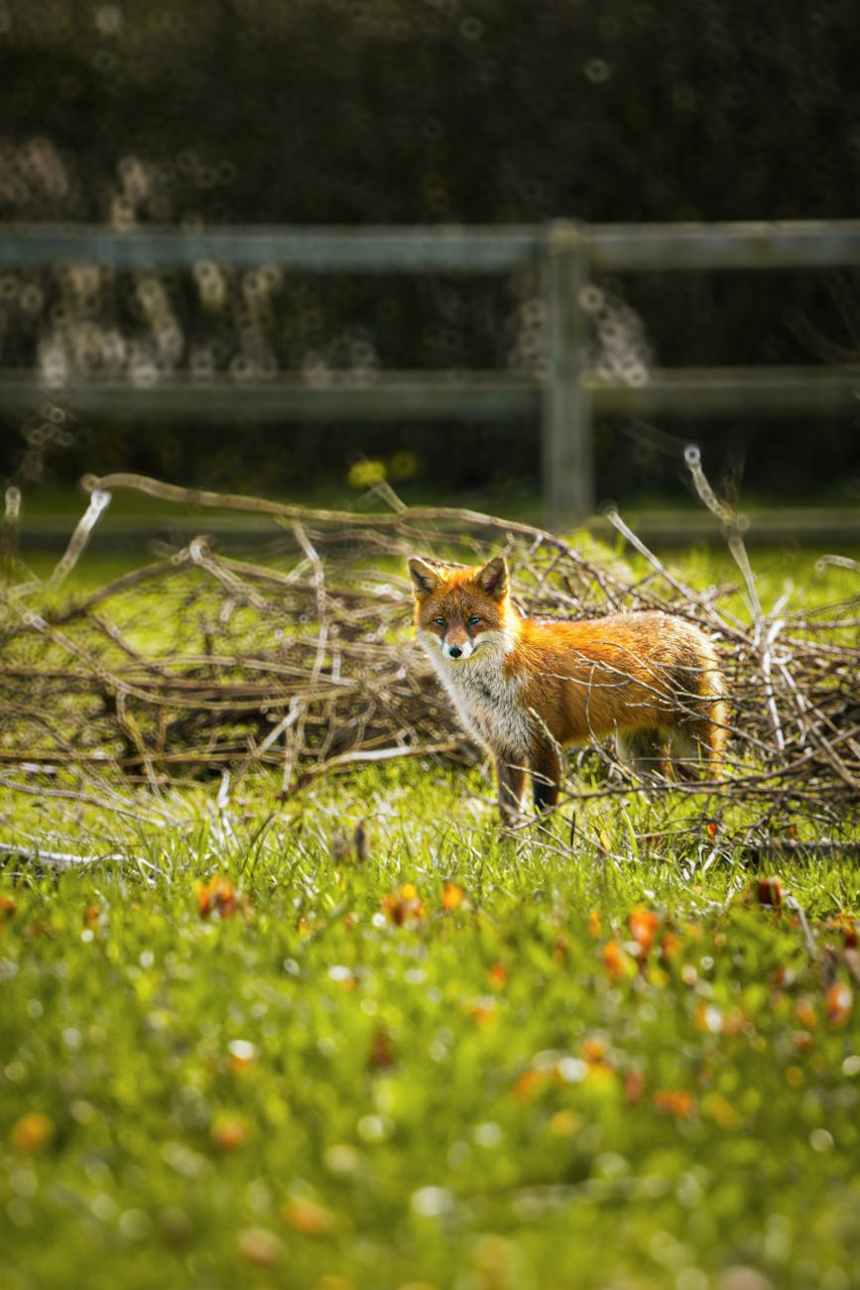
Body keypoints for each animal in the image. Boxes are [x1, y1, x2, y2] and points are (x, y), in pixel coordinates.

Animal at [408, 553, 728, 824]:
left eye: (474, 620)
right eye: (440, 622)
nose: (455, 651)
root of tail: (695, 628)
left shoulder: (544, 745)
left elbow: (543, 813)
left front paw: (544, 851)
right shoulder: (504, 748)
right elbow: (508, 815)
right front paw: (508, 851)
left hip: (693, 745)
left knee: (715, 784)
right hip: (638, 753)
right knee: (665, 792)